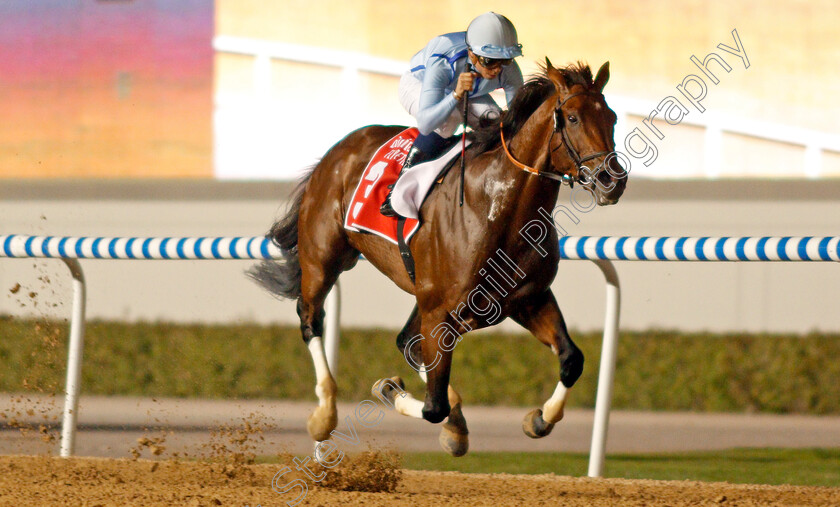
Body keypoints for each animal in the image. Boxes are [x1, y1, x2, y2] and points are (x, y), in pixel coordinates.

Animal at [246, 58, 628, 456]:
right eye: (572, 117)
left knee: (407, 342)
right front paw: (390, 390)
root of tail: (339, 149)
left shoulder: (528, 299)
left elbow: (571, 360)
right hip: (323, 260)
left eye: (612, 117)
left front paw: (539, 419)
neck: (498, 209)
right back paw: (325, 414)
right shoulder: (440, 310)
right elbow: (433, 406)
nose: (612, 181)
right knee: (311, 319)